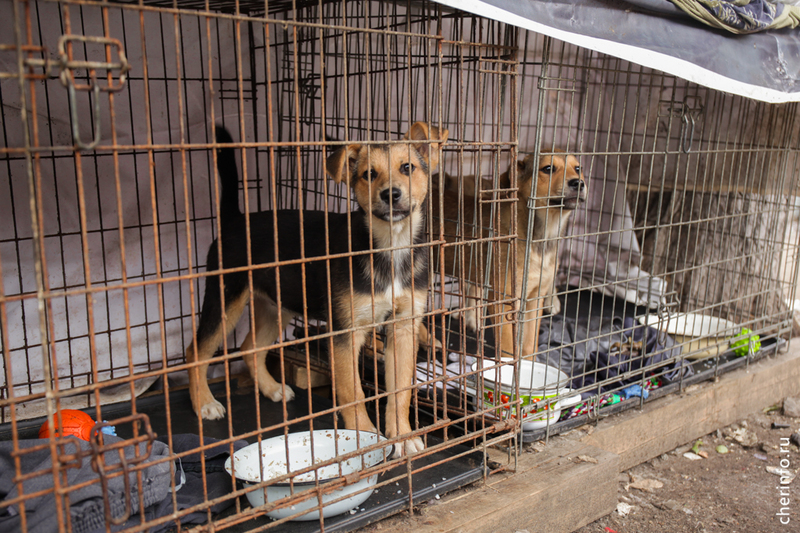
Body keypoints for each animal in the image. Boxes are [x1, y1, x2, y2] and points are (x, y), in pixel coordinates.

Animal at [188, 122, 450, 456]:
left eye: (408, 168)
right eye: (369, 174)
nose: (391, 194)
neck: (389, 247)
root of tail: (235, 220)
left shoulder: (404, 325)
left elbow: (401, 389)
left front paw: (403, 437)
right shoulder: (345, 333)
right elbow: (354, 394)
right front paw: (366, 441)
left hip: (278, 304)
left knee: (250, 347)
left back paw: (272, 389)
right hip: (225, 298)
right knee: (195, 352)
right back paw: (205, 405)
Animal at [438, 149, 588, 358]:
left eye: (578, 168)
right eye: (548, 168)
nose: (579, 183)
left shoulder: (534, 299)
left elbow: (529, 344)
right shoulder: (503, 300)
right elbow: (508, 350)